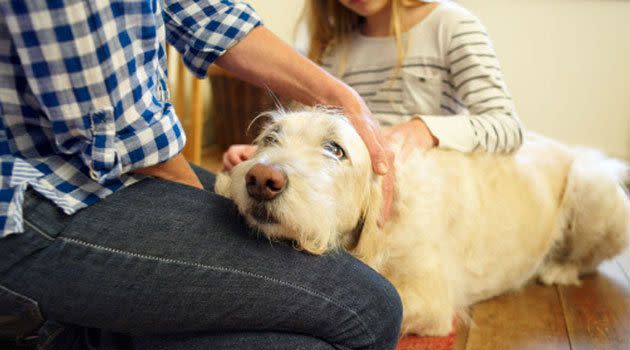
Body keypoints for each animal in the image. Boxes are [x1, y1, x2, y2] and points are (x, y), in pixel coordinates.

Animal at [214, 107, 630, 336]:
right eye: (271, 138)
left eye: (335, 149)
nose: (260, 179)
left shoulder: (428, 303)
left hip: (593, 188)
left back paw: (559, 268)